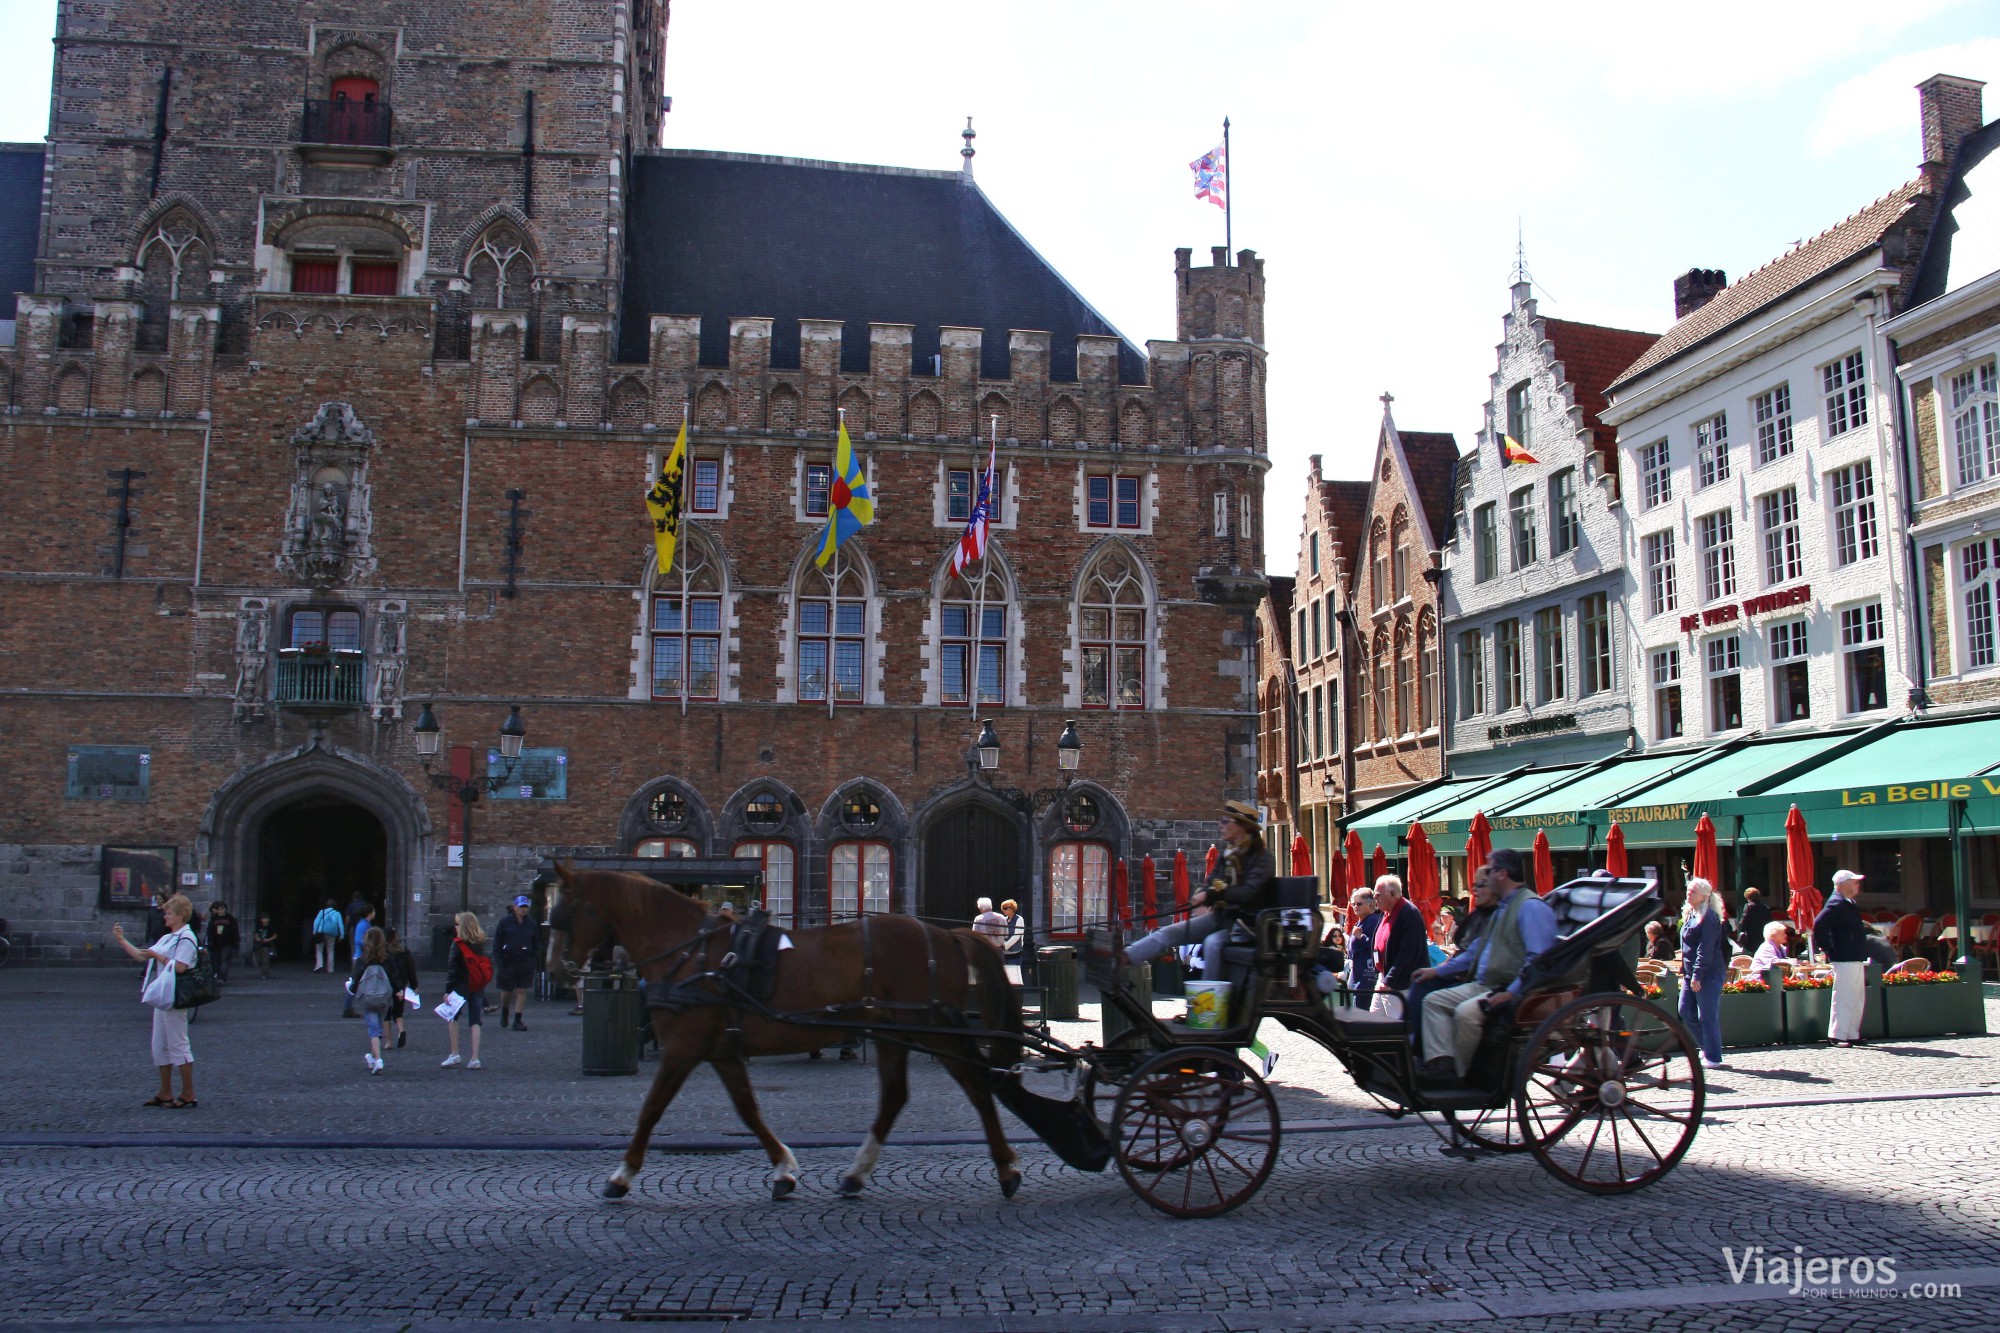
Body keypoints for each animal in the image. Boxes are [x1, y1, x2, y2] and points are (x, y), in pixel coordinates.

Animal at [548, 868, 1032, 1200]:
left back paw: (1007, 1169)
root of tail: (943, 934)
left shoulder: (683, 1048)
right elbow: (748, 1110)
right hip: (891, 1030)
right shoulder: (720, 1051)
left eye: (563, 913)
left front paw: (621, 1176)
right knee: (897, 1096)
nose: (556, 971)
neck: (689, 953)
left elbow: (650, 1110)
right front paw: (783, 1170)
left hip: (928, 1029)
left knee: (975, 1085)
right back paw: (855, 1174)